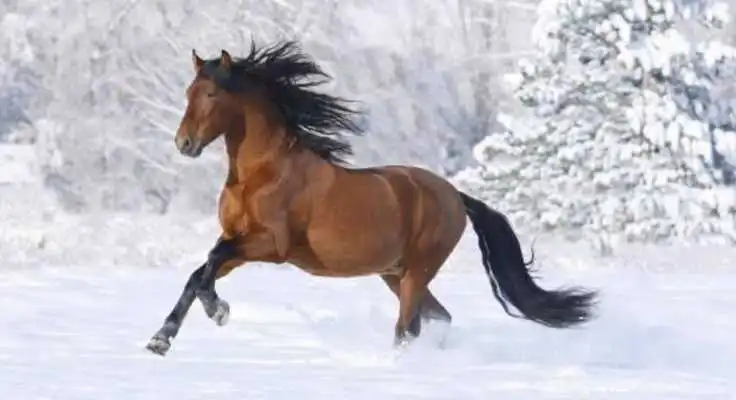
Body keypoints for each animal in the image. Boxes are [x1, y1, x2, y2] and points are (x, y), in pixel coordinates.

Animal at [145, 40, 597, 356]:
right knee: (436, 317)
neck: (262, 173)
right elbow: (199, 272)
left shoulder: (271, 245)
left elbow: (211, 262)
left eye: (211, 95)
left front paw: (218, 311)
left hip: (417, 271)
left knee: (407, 327)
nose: (184, 143)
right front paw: (161, 339)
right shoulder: (238, 240)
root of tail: (454, 194)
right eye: (188, 92)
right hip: (395, 274)